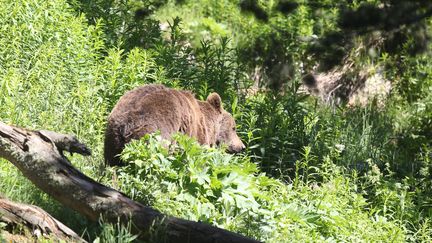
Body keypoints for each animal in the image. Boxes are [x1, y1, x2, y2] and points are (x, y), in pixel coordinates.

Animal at [104, 84, 245, 166]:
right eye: (234, 128)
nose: (242, 146)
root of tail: (126, 123)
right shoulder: (194, 136)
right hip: (154, 133)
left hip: (112, 137)